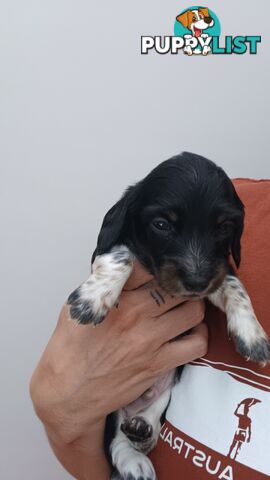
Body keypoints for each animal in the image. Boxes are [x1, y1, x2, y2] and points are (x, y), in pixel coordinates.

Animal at [67, 153, 270, 480]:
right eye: (161, 224)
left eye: (224, 226)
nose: (197, 282)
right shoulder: (114, 248)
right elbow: (121, 256)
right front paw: (91, 300)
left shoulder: (216, 270)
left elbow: (233, 283)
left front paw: (251, 335)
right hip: (110, 408)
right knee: (114, 440)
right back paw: (134, 462)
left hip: (172, 381)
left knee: (151, 415)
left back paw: (142, 428)